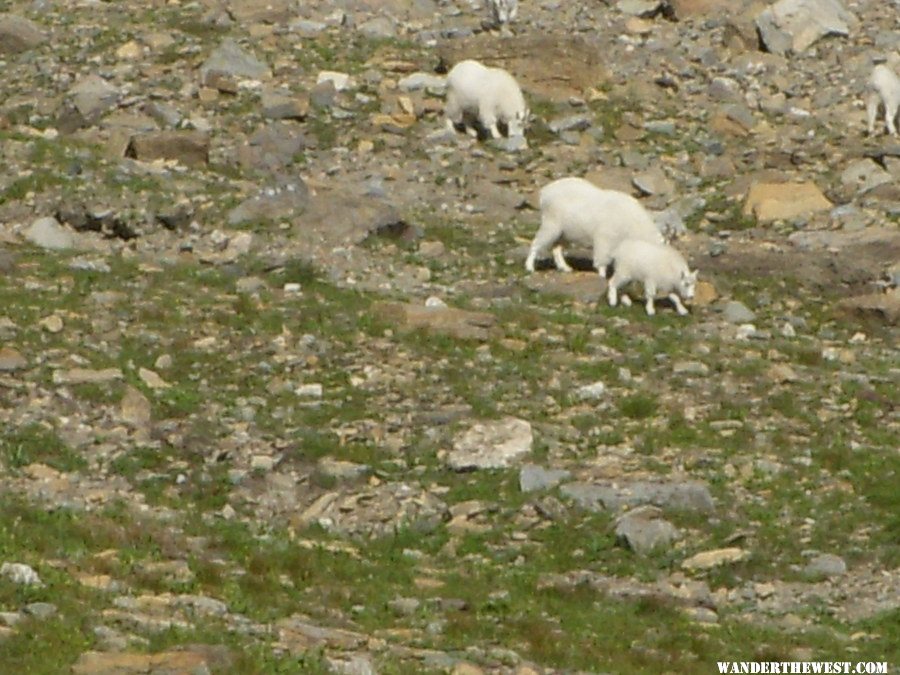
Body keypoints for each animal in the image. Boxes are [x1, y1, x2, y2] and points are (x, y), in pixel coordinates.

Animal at [524, 178, 664, 278]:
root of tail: (544, 192)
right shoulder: (604, 237)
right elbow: (601, 258)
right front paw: (602, 275)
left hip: (565, 232)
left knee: (556, 248)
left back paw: (565, 268)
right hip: (551, 223)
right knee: (537, 242)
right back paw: (530, 267)